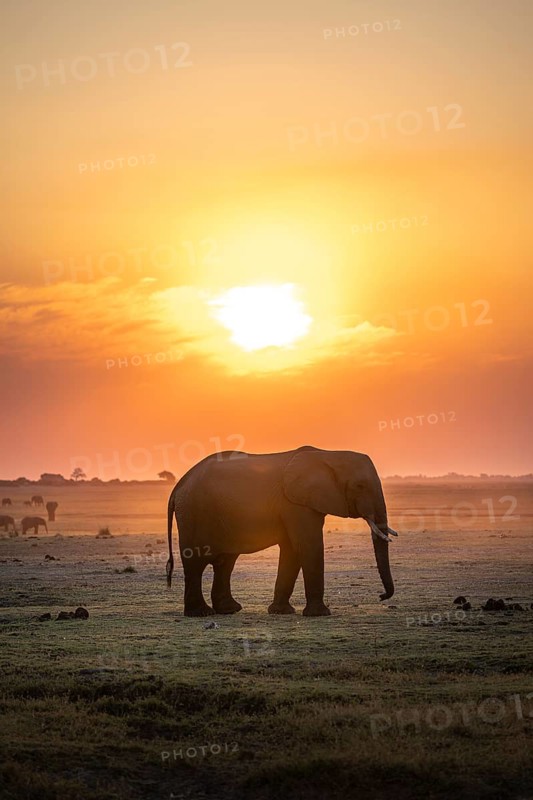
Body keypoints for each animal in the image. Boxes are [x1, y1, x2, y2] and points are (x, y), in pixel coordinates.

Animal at [165, 446, 397, 617]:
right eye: (360, 486)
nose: (381, 596)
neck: (329, 454)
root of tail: (178, 486)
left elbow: (292, 550)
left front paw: (281, 612)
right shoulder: (295, 503)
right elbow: (308, 544)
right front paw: (320, 614)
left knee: (225, 563)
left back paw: (228, 610)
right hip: (195, 513)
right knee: (196, 563)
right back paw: (201, 614)